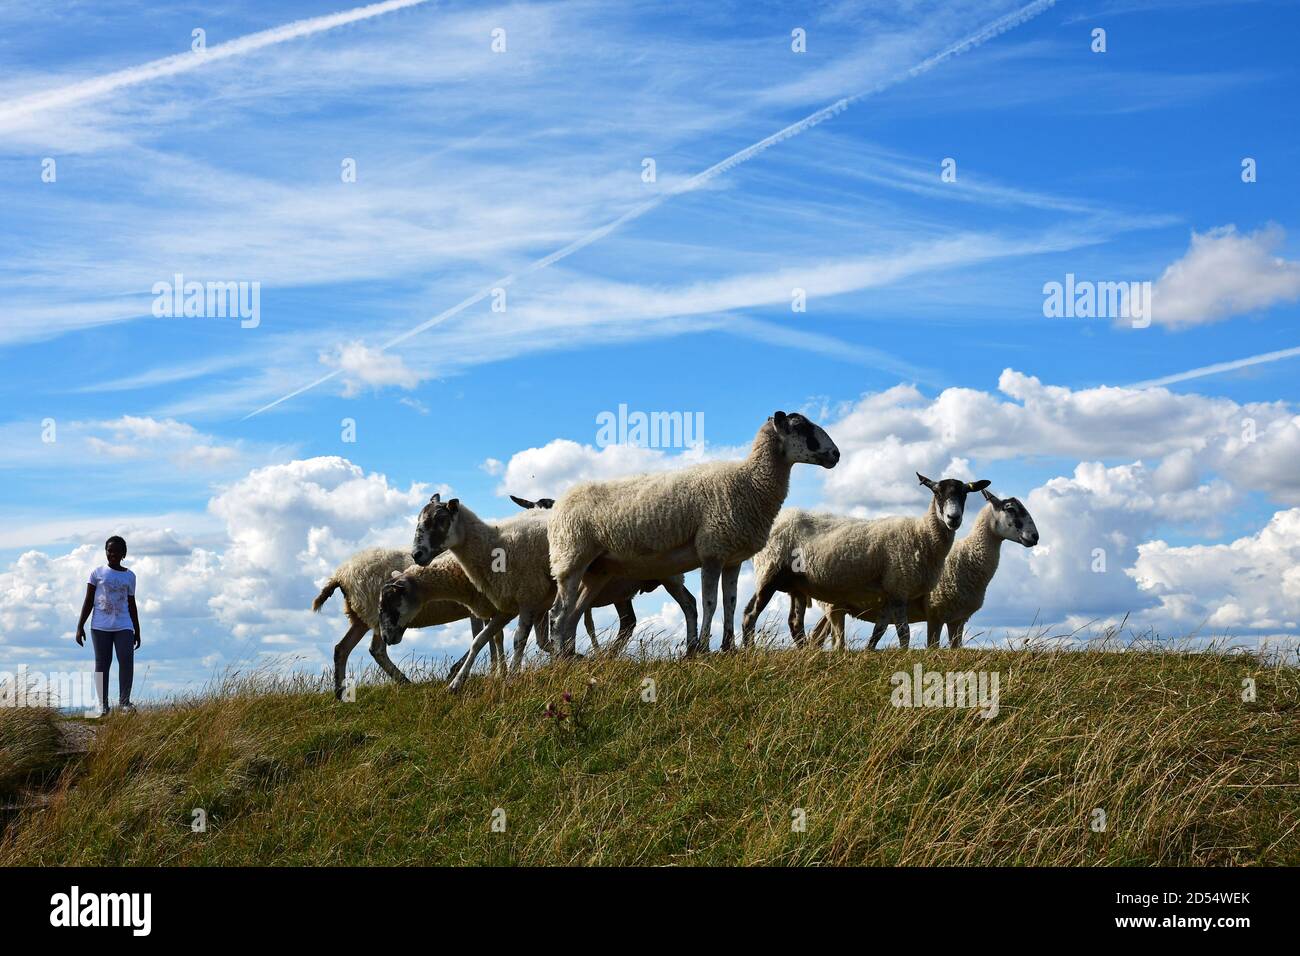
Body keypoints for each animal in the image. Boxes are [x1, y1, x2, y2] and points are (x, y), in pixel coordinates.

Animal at [546, 411, 839, 657]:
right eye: (800, 426)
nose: (835, 455)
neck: (750, 482)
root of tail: (559, 504)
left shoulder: (732, 558)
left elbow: (730, 603)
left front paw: (728, 647)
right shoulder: (711, 551)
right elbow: (711, 602)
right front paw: (703, 648)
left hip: (597, 570)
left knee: (574, 613)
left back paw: (572, 656)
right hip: (571, 558)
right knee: (558, 614)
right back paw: (561, 660)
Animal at [741, 473, 989, 650]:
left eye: (965, 494)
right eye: (937, 492)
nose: (953, 518)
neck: (922, 535)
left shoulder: (891, 592)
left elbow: (879, 630)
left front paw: (871, 651)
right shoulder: (900, 589)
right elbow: (904, 633)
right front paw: (904, 654)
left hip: (797, 585)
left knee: (795, 622)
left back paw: (803, 653)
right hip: (769, 570)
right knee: (750, 613)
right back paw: (748, 650)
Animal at [800, 490, 1040, 648]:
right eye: (1010, 509)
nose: (1035, 537)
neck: (969, 556)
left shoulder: (958, 619)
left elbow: (956, 649)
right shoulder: (935, 611)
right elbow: (932, 647)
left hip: (833, 604)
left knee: (817, 636)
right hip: (834, 606)